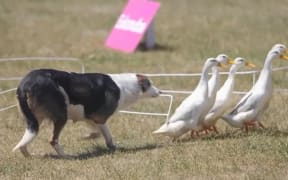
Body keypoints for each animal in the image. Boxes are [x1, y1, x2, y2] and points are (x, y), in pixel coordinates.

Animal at [12, 68, 161, 157]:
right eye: (150, 84)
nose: (160, 92)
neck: (126, 86)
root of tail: (25, 84)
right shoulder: (100, 118)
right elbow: (106, 135)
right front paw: (92, 139)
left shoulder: (89, 117)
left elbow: (98, 133)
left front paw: (89, 137)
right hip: (61, 116)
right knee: (53, 140)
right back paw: (66, 156)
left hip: (34, 120)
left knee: (25, 141)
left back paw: (29, 156)